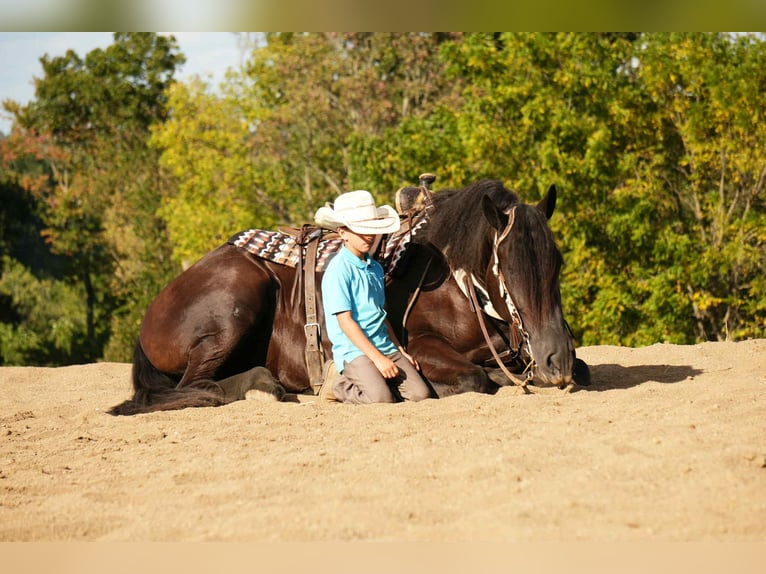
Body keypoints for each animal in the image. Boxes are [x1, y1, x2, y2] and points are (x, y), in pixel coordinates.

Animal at [108, 178, 588, 415]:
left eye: (557, 260)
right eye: (508, 265)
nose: (555, 360)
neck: (458, 283)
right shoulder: (419, 346)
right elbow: (474, 379)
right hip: (233, 307)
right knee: (196, 385)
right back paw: (263, 386)